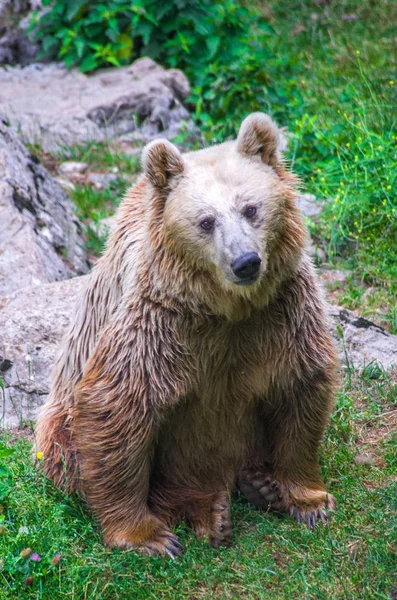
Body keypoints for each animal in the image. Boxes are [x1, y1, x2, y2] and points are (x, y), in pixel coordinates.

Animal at [34, 113, 338, 556]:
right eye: (206, 221)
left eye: (251, 208)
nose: (246, 262)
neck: (226, 307)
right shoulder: (160, 321)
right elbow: (119, 404)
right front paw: (146, 535)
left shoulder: (281, 310)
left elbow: (300, 384)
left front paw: (310, 500)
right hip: (61, 419)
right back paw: (212, 511)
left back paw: (258, 485)